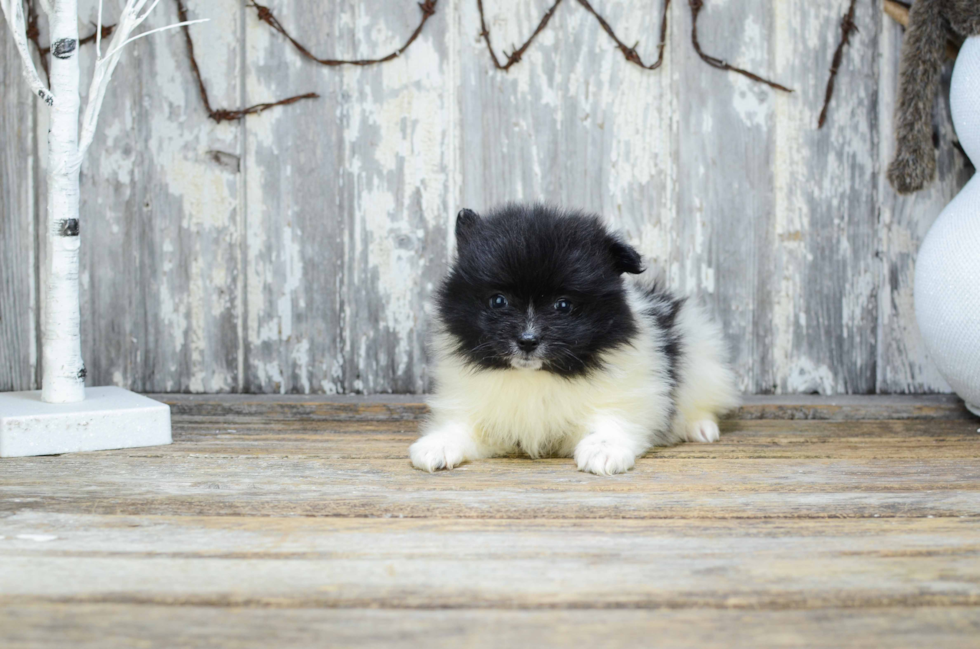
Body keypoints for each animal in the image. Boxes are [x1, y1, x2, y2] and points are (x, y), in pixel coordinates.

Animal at [410, 205, 740, 474]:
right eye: (499, 301)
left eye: (563, 305)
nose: (528, 340)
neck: (537, 375)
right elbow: (461, 426)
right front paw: (437, 444)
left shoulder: (629, 393)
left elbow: (613, 420)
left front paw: (604, 450)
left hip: (699, 355)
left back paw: (700, 426)